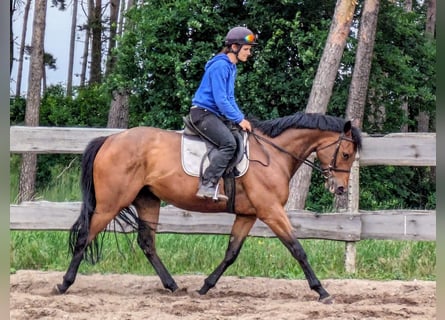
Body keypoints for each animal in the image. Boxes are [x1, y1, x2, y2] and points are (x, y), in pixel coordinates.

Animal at [54, 112, 360, 302]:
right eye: (346, 153)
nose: (340, 189)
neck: (273, 154)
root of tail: (110, 139)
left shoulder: (248, 215)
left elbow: (231, 253)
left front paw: (205, 287)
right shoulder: (271, 211)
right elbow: (297, 249)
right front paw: (322, 291)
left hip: (147, 200)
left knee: (147, 243)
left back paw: (173, 286)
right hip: (110, 203)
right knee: (85, 237)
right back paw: (64, 283)